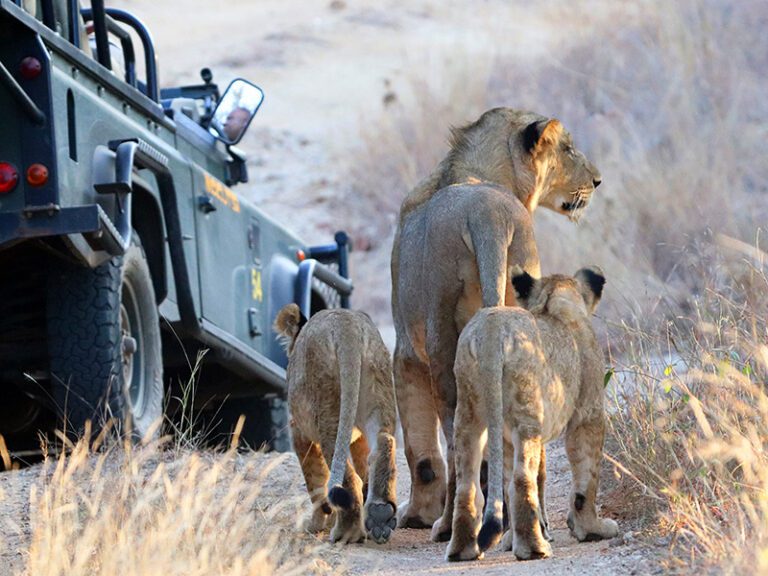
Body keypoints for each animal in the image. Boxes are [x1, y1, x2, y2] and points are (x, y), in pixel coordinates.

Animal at [274, 305, 397, 544]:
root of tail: (347, 327)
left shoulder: (298, 432)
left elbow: (315, 480)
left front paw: (316, 523)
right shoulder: (358, 438)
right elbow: (360, 463)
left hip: (327, 411)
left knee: (348, 478)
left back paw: (347, 532)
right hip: (378, 393)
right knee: (383, 442)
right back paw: (380, 513)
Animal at [391, 108, 602, 539]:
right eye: (569, 149)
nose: (597, 180)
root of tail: (487, 215)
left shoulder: (406, 352)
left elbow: (419, 448)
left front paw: (416, 514)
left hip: (441, 340)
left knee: (458, 438)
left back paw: (448, 524)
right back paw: (530, 523)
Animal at [446, 267, 619, 562]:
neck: (556, 298)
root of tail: (491, 333)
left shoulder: (505, 436)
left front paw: (509, 540)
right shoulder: (588, 413)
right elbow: (587, 474)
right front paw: (591, 529)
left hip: (469, 412)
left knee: (467, 485)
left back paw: (463, 551)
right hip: (527, 415)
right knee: (521, 479)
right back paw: (534, 548)